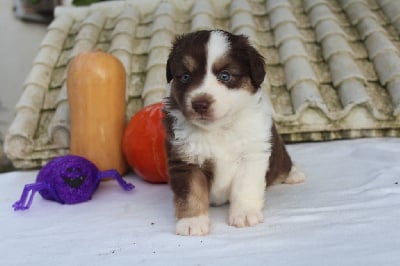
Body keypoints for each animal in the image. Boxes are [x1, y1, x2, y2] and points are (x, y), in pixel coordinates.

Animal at [162, 30, 304, 236]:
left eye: (225, 75)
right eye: (186, 76)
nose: (200, 104)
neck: (219, 129)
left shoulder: (252, 154)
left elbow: (245, 188)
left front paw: (244, 215)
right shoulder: (185, 160)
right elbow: (191, 193)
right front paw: (192, 222)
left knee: (283, 164)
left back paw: (294, 174)